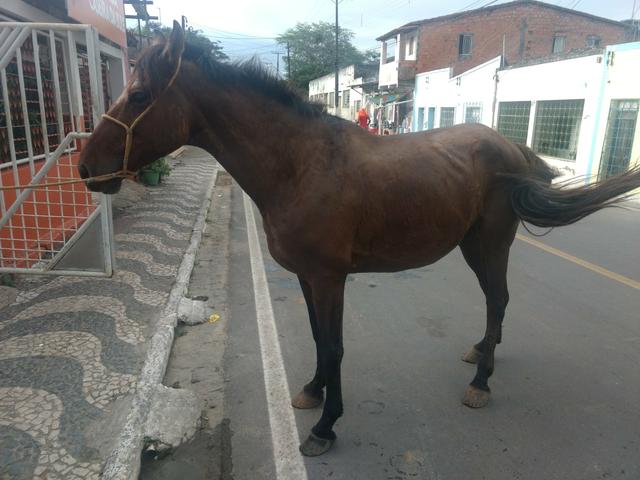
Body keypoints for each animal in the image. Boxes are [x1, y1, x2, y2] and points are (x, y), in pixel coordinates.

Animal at [78, 22, 640, 456]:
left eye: (139, 96)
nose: (85, 168)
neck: (300, 166)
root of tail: (509, 146)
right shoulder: (307, 277)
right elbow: (317, 340)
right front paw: (312, 391)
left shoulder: (330, 278)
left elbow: (334, 346)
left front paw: (327, 426)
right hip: (472, 246)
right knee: (494, 305)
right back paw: (483, 351)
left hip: (489, 246)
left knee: (498, 299)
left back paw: (481, 381)